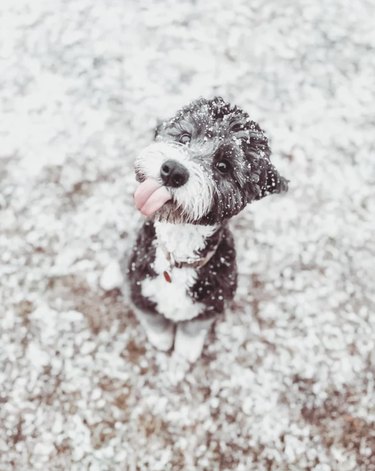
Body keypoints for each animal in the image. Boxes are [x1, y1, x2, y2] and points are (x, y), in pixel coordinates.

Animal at [128, 97, 290, 364]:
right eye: (184, 137)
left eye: (223, 166)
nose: (173, 170)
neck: (178, 258)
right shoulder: (138, 286)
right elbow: (153, 319)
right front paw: (162, 340)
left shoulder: (214, 301)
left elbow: (193, 328)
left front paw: (185, 351)